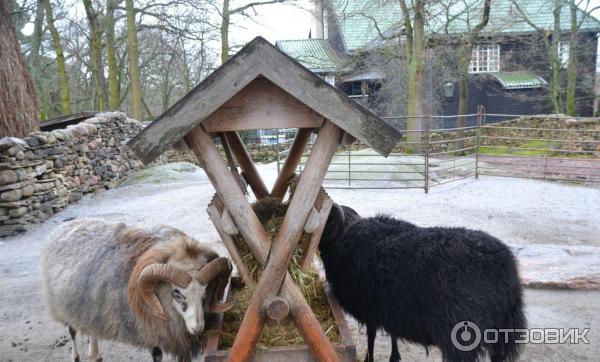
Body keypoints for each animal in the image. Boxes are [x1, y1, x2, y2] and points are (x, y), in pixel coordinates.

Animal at [42, 219, 233, 362]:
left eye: (205, 291)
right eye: (177, 293)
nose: (198, 328)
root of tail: (63, 226)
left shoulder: (179, 340)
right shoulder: (149, 331)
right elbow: (157, 355)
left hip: (86, 307)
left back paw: (95, 354)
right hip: (62, 306)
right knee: (72, 331)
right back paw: (76, 356)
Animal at [318, 205, 524, 360]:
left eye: (326, 221)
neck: (343, 239)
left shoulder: (370, 309)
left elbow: (371, 336)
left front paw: (370, 358)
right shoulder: (390, 307)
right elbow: (392, 334)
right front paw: (395, 356)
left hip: (462, 335)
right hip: (503, 333)